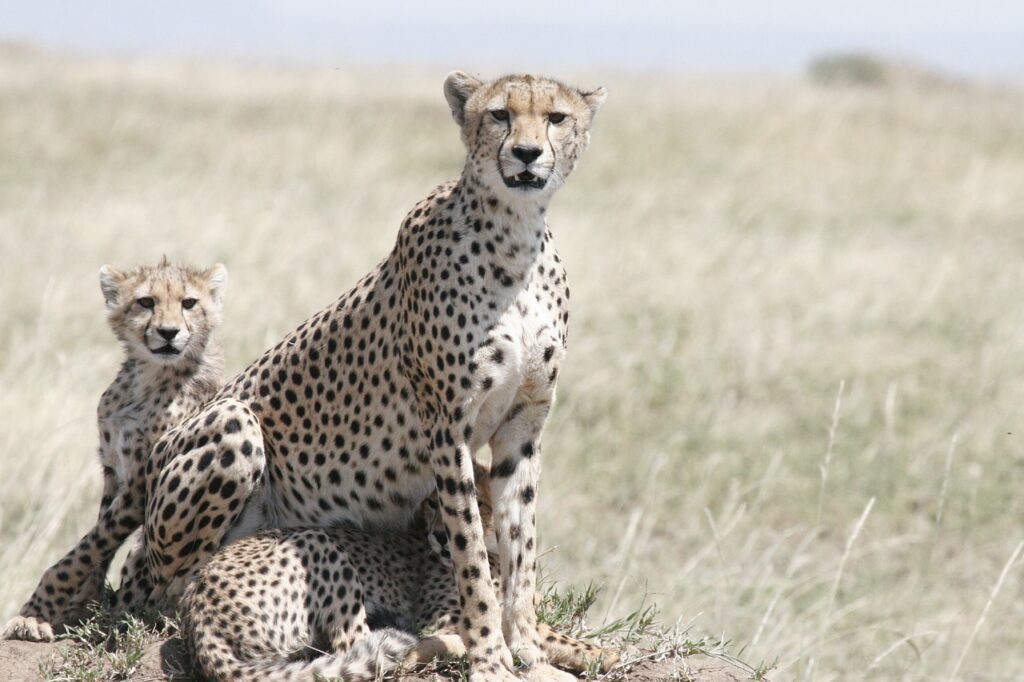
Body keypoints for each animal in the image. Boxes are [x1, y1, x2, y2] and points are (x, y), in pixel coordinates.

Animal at [0, 258, 228, 638]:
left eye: (189, 303)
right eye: (146, 302)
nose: (168, 332)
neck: (148, 378)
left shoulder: (141, 483)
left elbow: (87, 547)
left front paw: (35, 613)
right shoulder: (114, 470)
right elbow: (97, 541)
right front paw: (82, 604)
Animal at [135, 70, 602, 679]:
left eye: (556, 118)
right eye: (499, 114)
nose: (526, 153)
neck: (515, 236)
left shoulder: (524, 424)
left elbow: (519, 545)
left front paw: (528, 648)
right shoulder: (446, 425)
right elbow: (472, 554)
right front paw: (490, 657)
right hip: (233, 427)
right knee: (171, 592)